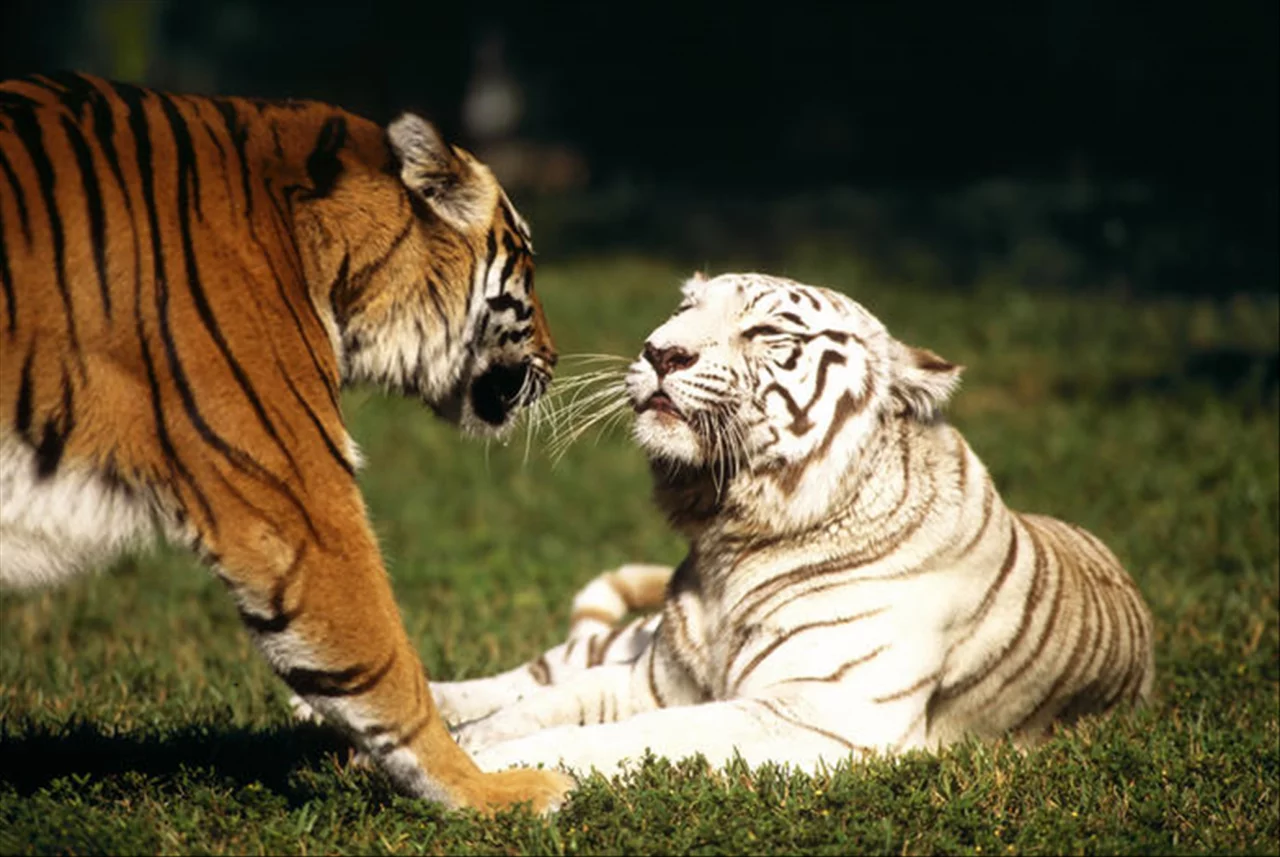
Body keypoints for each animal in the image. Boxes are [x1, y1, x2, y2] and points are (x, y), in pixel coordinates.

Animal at [432, 273, 1162, 777]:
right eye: (683, 311)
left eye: (766, 333)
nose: (659, 351)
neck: (730, 537)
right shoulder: (654, 677)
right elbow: (545, 702)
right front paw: (464, 744)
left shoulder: (821, 714)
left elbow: (618, 736)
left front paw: (487, 765)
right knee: (534, 671)